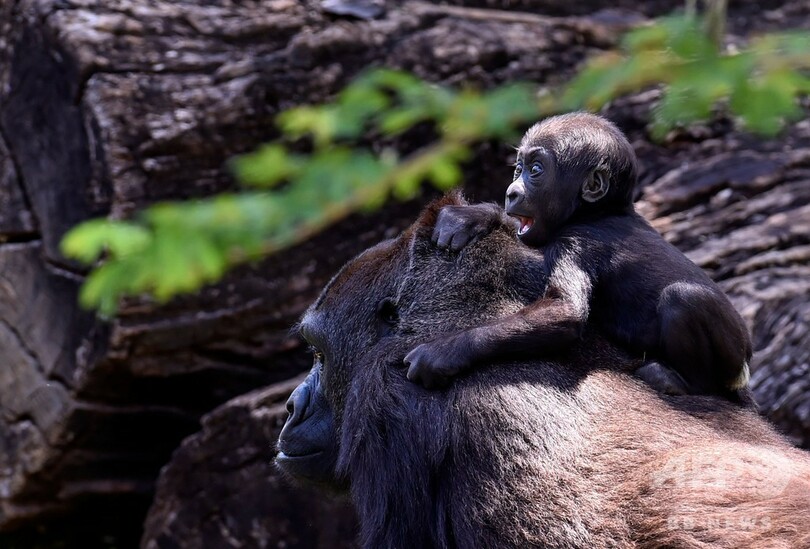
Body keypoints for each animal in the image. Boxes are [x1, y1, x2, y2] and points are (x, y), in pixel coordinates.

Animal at [408, 112, 756, 402]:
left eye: (536, 171)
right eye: (518, 169)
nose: (511, 192)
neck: (598, 211)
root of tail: (746, 368)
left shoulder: (574, 241)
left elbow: (565, 311)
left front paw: (444, 352)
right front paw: (469, 217)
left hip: (731, 358)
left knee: (684, 299)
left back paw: (684, 381)